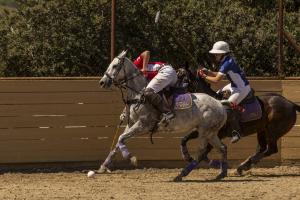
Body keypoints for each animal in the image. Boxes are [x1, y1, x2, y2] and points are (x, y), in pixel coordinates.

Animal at [98, 50, 227, 180]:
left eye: (115, 66)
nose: (102, 82)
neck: (138, 95)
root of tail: (220, 104)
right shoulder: (132, 124)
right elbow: (119, 142)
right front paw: (103, 166)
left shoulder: (143, 124)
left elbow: (121, 138)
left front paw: (132, 159)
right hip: (211, 133)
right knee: (222, 148)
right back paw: (221, 173)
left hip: (204, 131)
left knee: (201, 153)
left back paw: (182, 174)